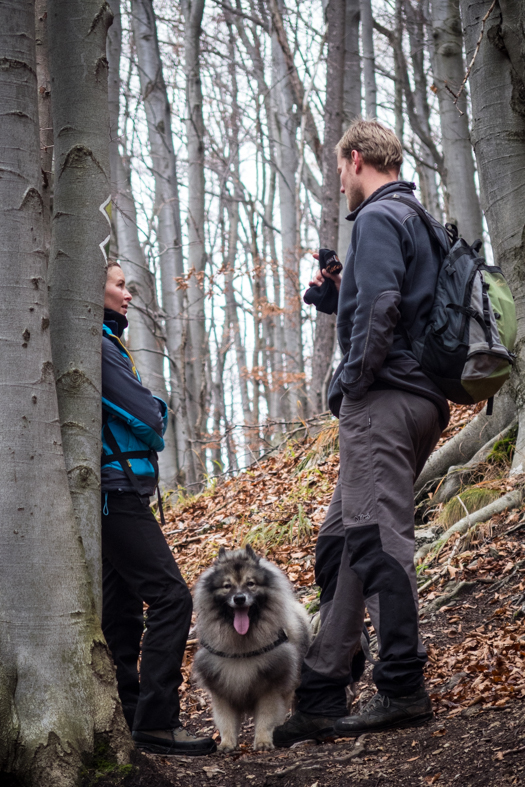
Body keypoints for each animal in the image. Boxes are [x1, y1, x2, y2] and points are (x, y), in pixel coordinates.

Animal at [193, 544, 312, 748]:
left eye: (250, 583)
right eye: (227, 586)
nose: (239, 598)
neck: (241, 646)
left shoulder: (271, 687)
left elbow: (266, 717)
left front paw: (263, 741)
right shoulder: (221, 689)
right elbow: (225, 720)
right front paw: (227, 743)